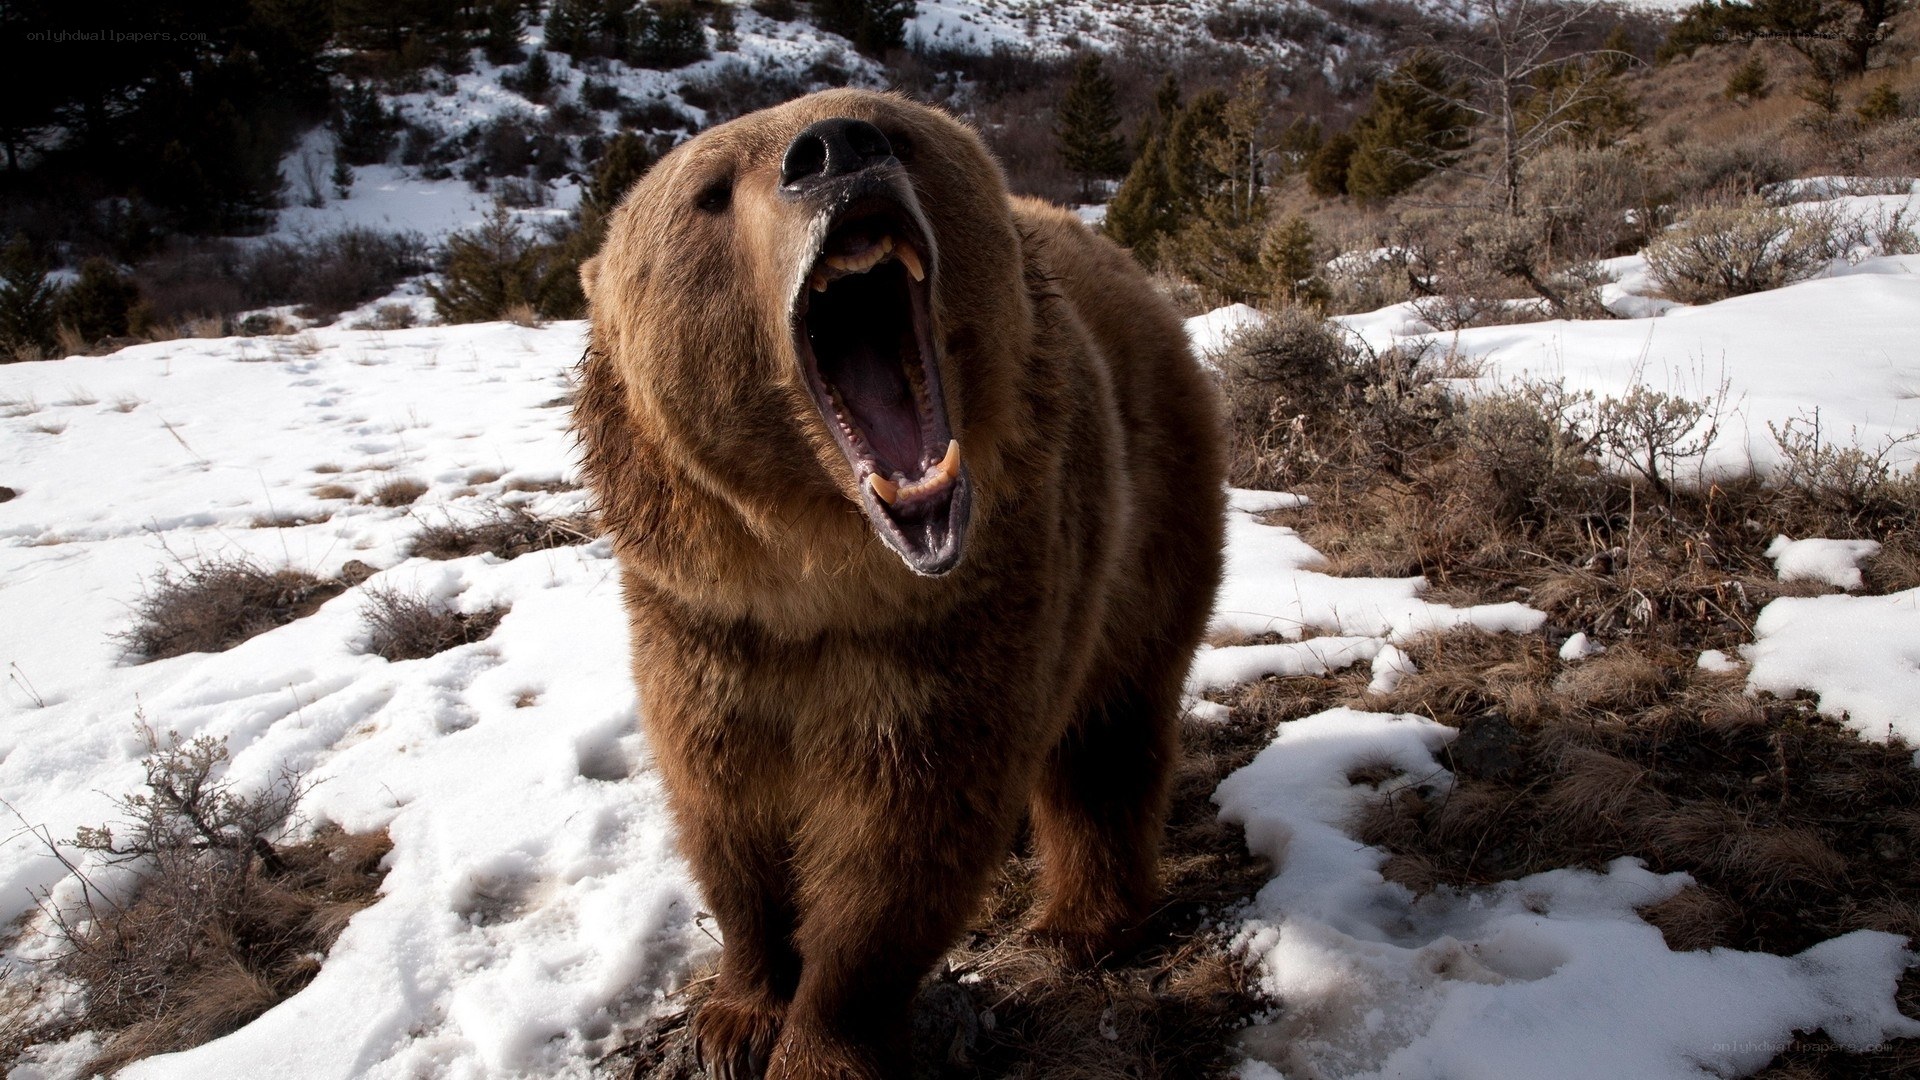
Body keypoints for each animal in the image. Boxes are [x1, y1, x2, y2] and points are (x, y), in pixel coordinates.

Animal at [573, 89, 1226, 1079]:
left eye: (894, 129)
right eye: (710, 191)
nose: (835, 150)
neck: (819, 576)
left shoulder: (955, 624)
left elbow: (901, 843)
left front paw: (818, 1043)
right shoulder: (704, 626)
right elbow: (726, 814)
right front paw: (737, 1015)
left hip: (1147, 516)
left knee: (1109, 731)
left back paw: (1079, 923)